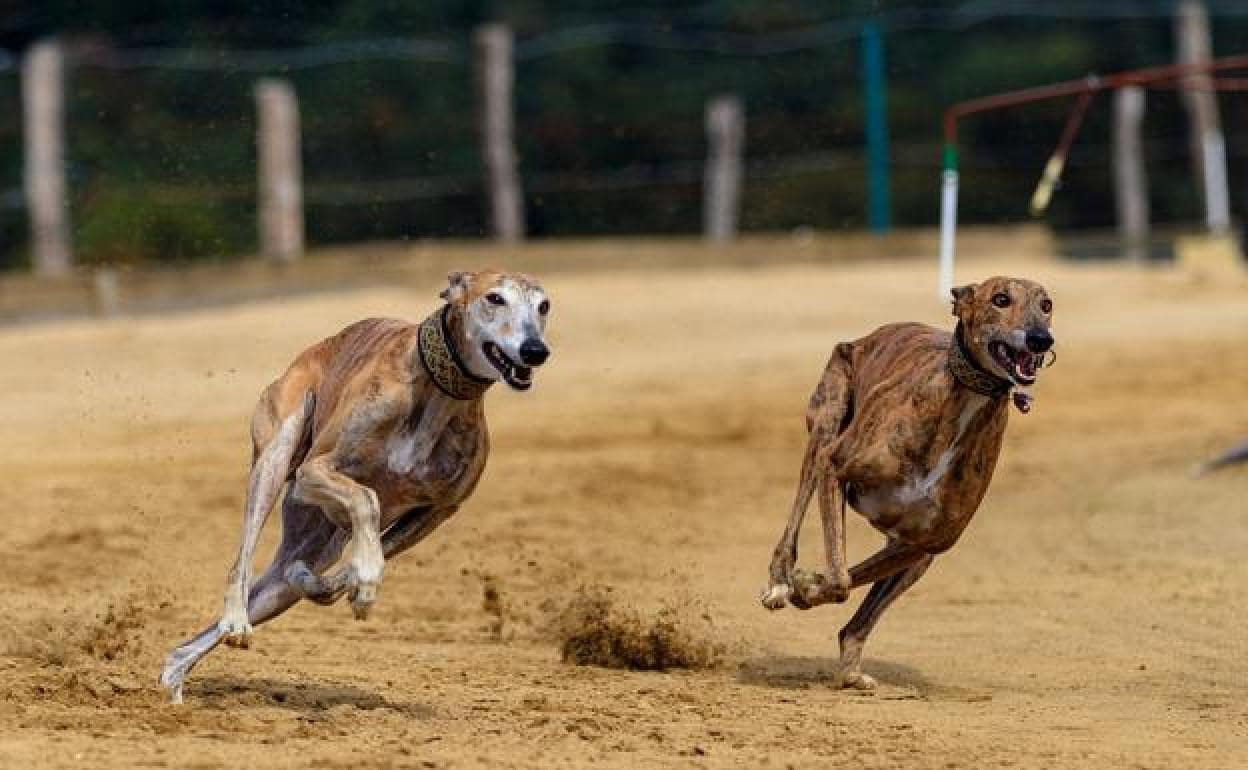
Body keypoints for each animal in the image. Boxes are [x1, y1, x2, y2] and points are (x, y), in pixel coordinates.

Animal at [160, 267, 551, 698]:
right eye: (495, 298)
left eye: (544, 306)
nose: (535, 350)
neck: (438, 395)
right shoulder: (315, 470)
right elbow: (366, 498)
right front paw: (363, 577)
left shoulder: (437, 513)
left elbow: (363, 558)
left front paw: (355, 582)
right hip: (278, 456)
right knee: (242, 557)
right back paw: (235, 620)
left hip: (309, 549)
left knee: (275, 583)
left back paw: (176, 674)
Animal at [758, 275, 1053, 688]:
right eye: (1000, 299)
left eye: (1047, 305)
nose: (1041, 338)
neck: (963, 400)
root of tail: (869, 336)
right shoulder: (834, 466)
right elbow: (840, 579)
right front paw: (800, 584)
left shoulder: (928, 541)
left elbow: (846, 579)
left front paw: (808, 587)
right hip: (826, 420)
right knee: (797, 513)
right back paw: (779, 582)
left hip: (915, 555)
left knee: (857, 622)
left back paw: (851, 673)